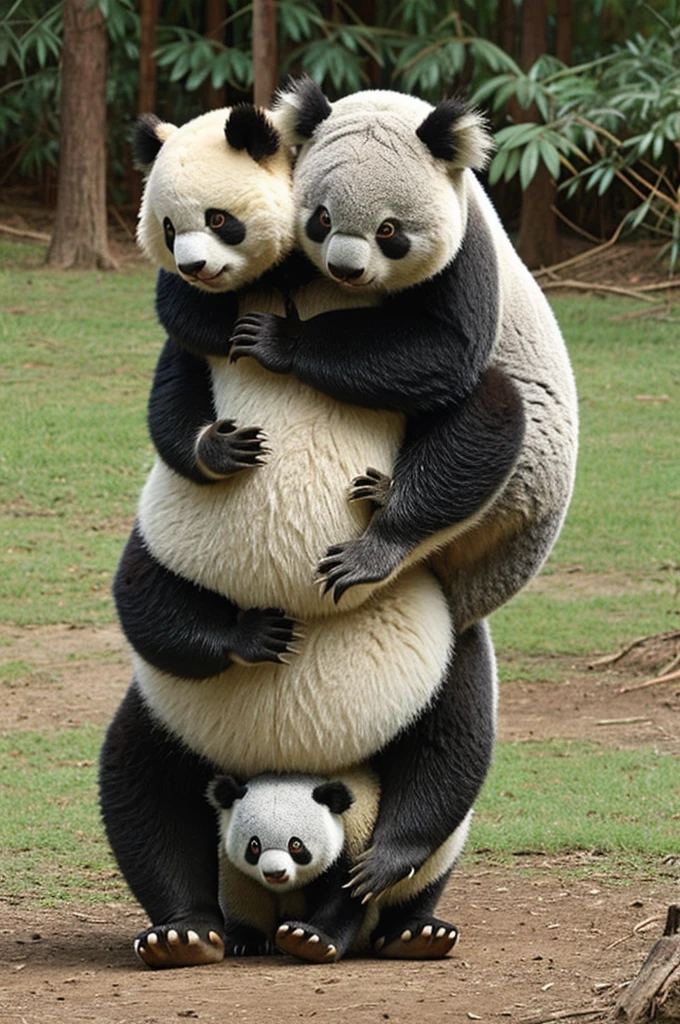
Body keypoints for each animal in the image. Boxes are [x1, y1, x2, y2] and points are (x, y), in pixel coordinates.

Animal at [201, 770, 461, 964]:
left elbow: (348, 894)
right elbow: (240, 889)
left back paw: (421, 935)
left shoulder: (356, 838)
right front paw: (247, 940)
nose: (275, 873)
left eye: (296, 844)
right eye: (254, 845)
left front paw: (308, 939)